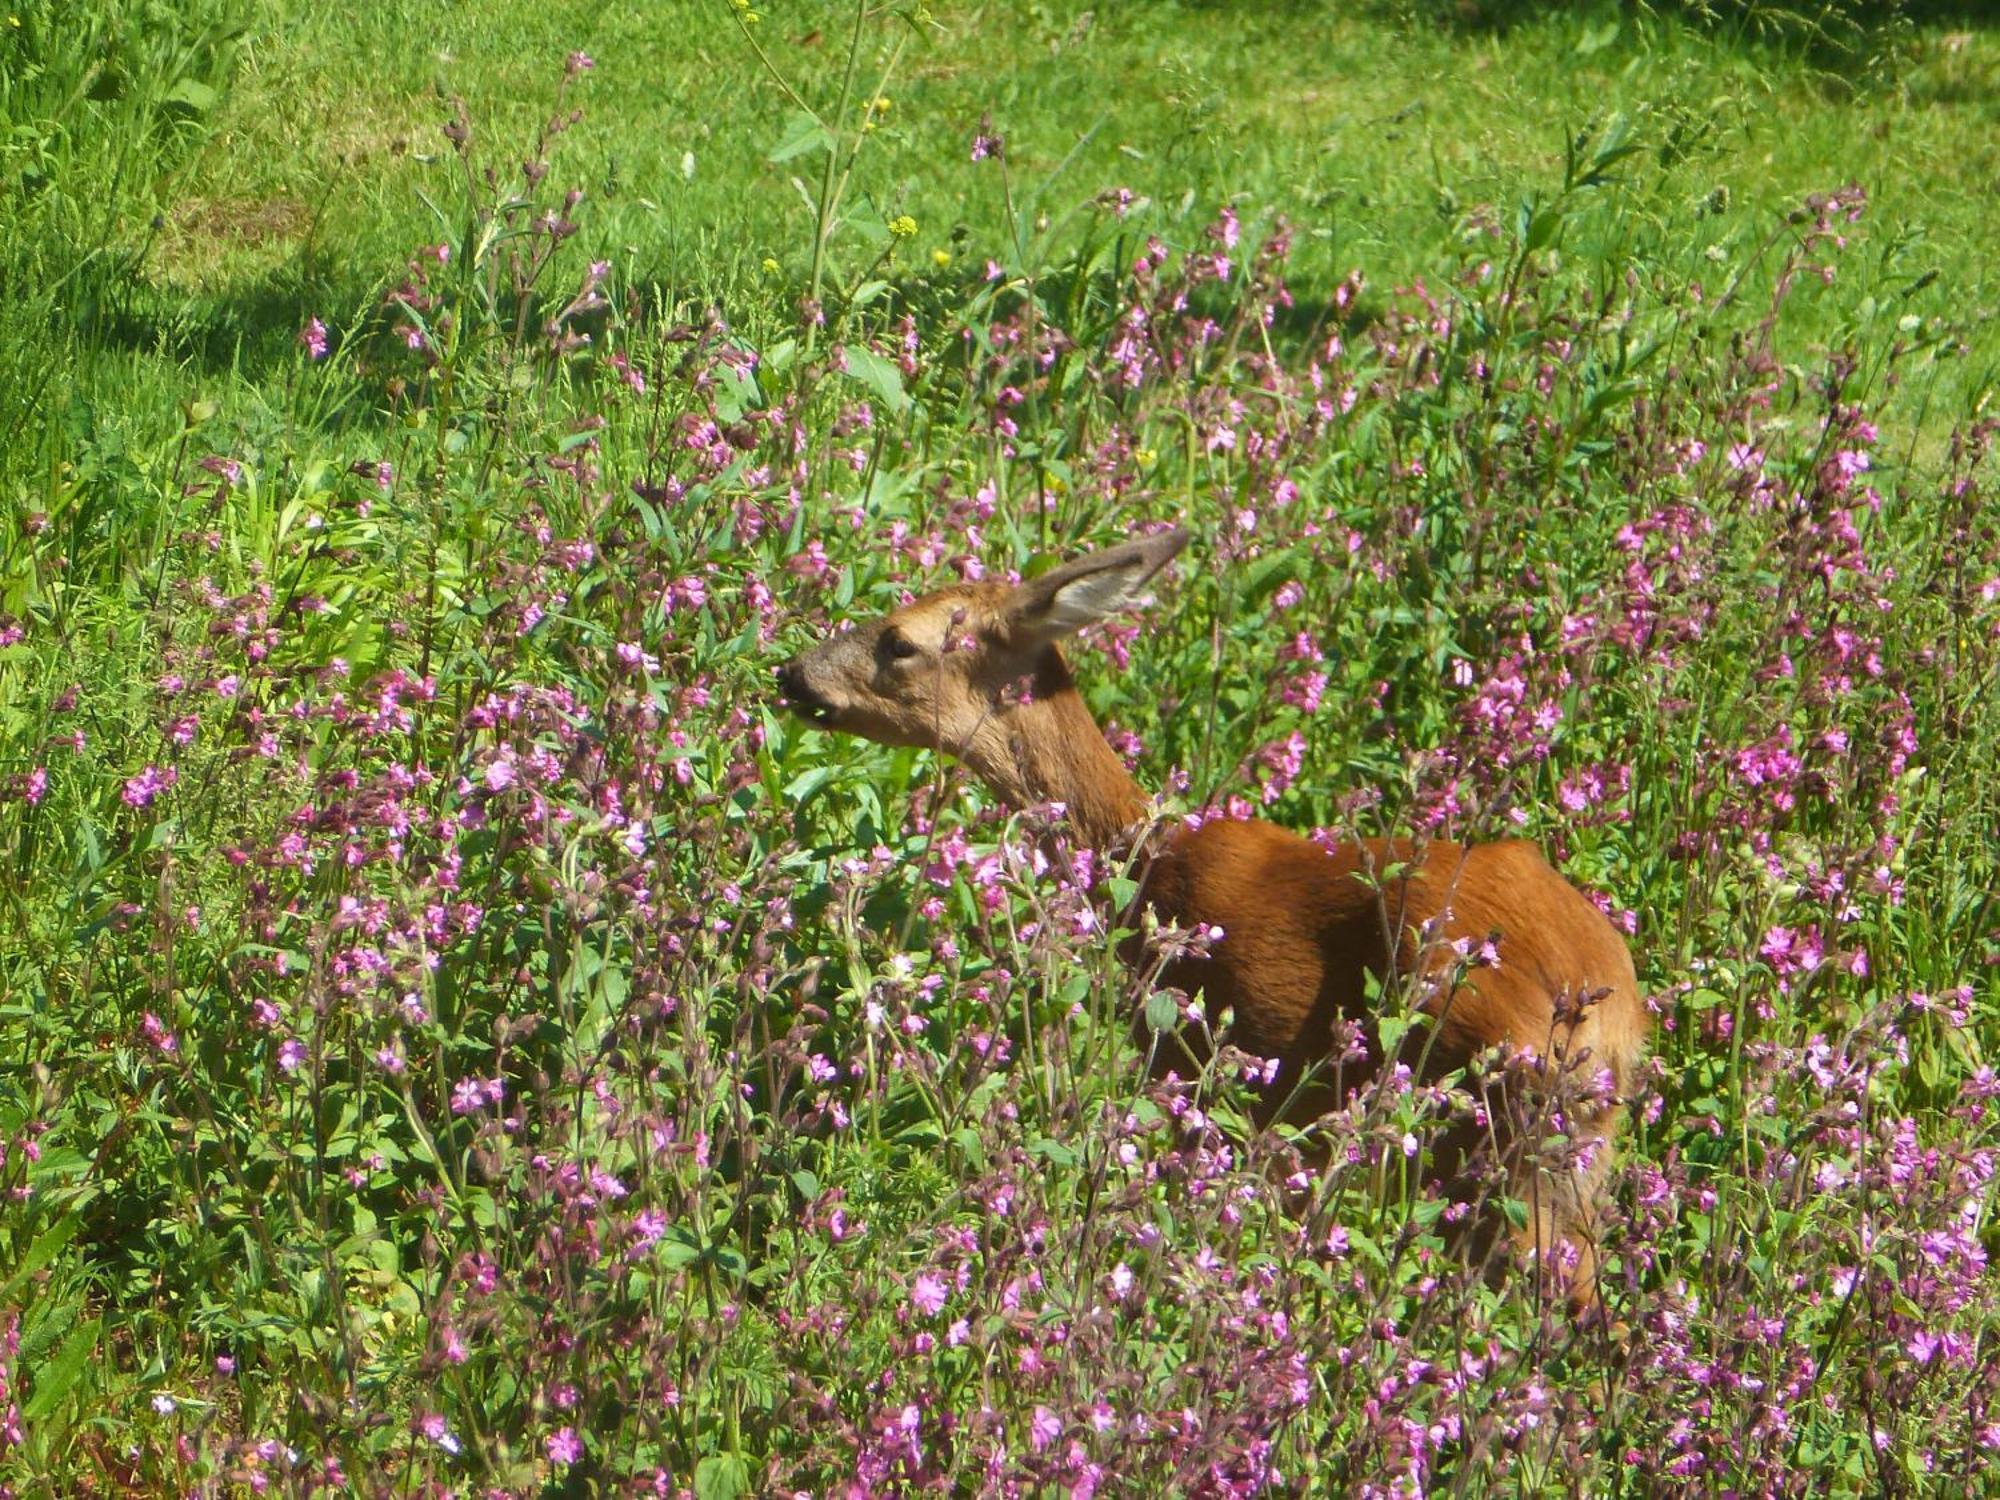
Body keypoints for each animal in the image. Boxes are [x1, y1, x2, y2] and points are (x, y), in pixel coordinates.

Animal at [772, 524, 1648, 1312]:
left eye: (898, 641)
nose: (790, 674)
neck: (1144, 868)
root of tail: (1600, 1008)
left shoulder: (1203, 1071)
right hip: (1574, 1148)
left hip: (1482, 1110)